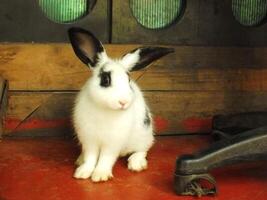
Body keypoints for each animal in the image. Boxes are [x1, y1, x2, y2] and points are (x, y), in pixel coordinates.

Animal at [68, 27, 175, 182]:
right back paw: (80, 160)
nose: (123, 102)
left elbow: (106, 158)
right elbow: (90, 157)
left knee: (143, 149)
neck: (105, 109)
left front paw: (100, 175)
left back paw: (136, 163)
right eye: (105, 80)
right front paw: (82, 173)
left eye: (128, 79)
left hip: (144, 135)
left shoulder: (112, 143)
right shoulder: (89, 140)